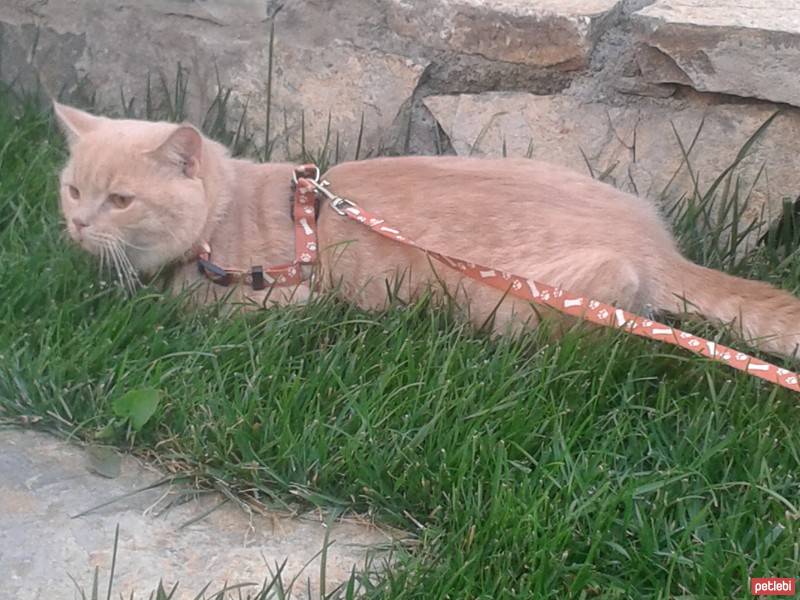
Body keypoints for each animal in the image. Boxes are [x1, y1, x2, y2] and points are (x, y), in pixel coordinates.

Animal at [53, 101, 800, 358]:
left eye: (120, 199)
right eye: (73, 189)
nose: (77, 224)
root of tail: (657, 243)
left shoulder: (282, 297)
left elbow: (189, 304)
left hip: (520, 304)